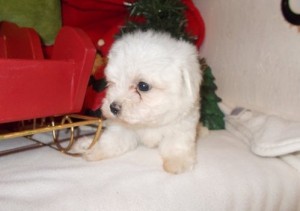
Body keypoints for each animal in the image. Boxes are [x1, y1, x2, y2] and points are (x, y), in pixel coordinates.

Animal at [79, 30, 202, 175]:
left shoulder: (181, 125)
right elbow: (111, 141)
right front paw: (95, 150)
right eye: (111, 83)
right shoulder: (121, 129)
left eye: (143, 86)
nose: (113, 108)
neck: (150, 122)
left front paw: (177, 162)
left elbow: (176, 144)